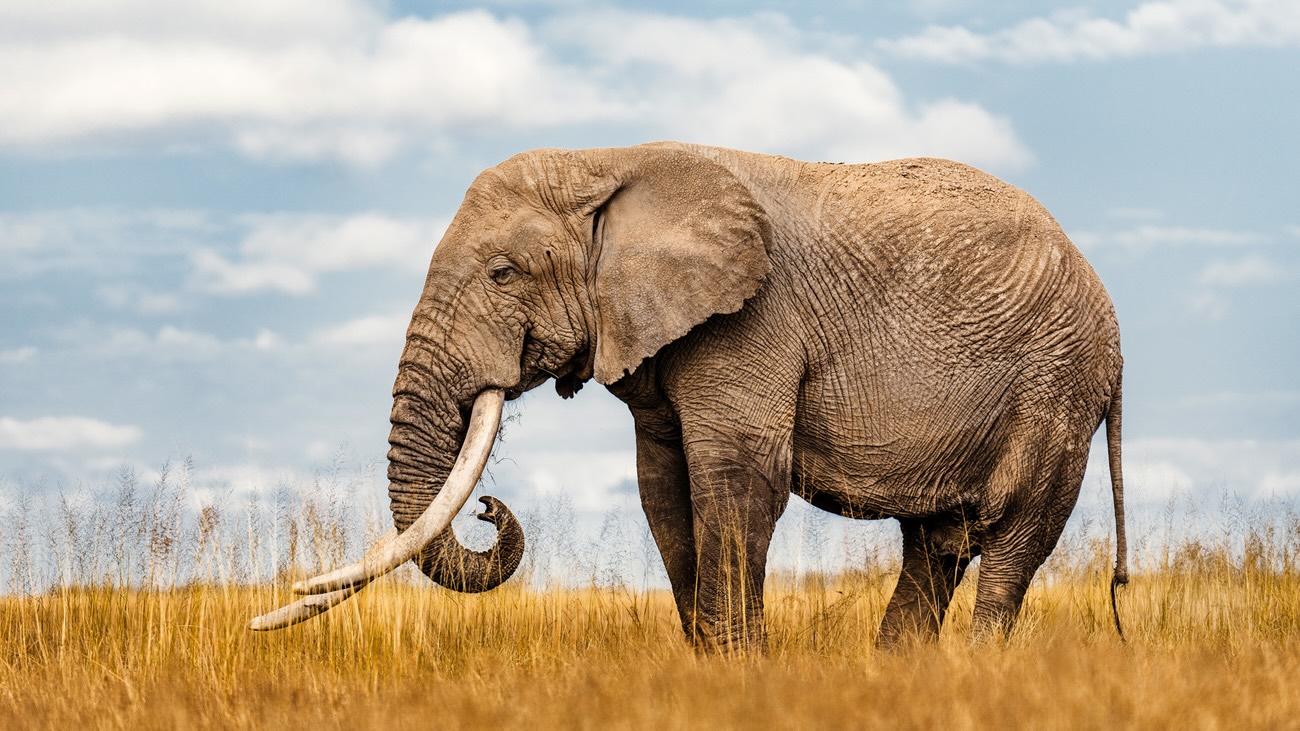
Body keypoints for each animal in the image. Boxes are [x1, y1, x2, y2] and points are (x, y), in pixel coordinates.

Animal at [252, 142, 1129, 652]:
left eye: (503, 273)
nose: (490, 508)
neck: (611, 161)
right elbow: (664, 491)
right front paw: (712, 664)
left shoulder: (753, 319)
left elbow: (734, 482)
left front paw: (742, 670)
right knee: (937, 544)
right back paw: (895, 672)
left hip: (1057, 386)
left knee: (1011, 540)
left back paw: (974, 669)